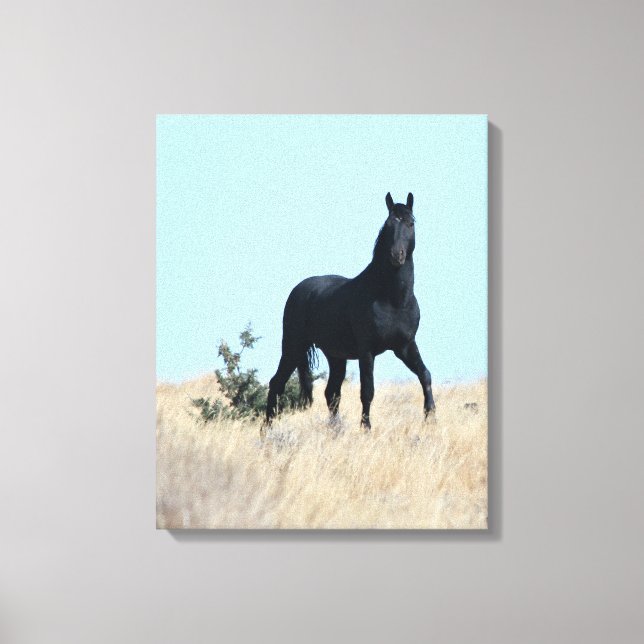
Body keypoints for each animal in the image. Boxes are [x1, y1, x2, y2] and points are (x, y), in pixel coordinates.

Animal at [265, 192, 435, 430]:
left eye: (411, 223)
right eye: (388, 225)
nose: (396, 255)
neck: (393, 300)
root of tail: (298, 290)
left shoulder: (405, 346)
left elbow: (425, 375)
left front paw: (431, 416)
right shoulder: (367, 351)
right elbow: (367, 391)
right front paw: (366, 428)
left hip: (335, 356)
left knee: (331, 393)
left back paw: (334, 429)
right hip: (293, 347)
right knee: (277, 383)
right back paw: (267, 430)